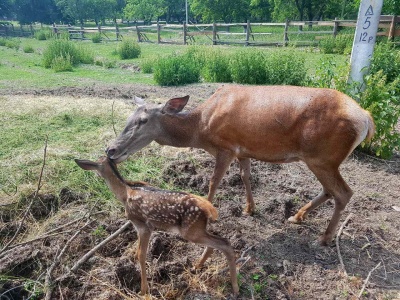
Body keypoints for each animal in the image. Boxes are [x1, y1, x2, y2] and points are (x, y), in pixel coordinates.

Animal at [75, 156, 239, 296]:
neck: (125, 194)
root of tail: (209, 208)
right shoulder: (139, 227)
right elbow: (137, 253)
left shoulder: (144, 225)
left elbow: (141, 255)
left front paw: (144, 290)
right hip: (198, 228)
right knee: (216, 244)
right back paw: (196, 267)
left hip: (191, 230)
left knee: (225, 243)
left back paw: (235, 288)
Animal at [106, 85, 376, 246]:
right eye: (128, 117)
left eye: (142, 120)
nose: (110, 150)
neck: (200, 129)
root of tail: (366, 119)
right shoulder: (243, 149)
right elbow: (246, 176)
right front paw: (249, 209)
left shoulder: (224, 147)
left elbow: (214, 181)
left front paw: (207, 215)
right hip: (322, 160)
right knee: (330, 190)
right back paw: (297, 216)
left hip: (323, 157)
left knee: (344, 192)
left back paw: (325, 237)